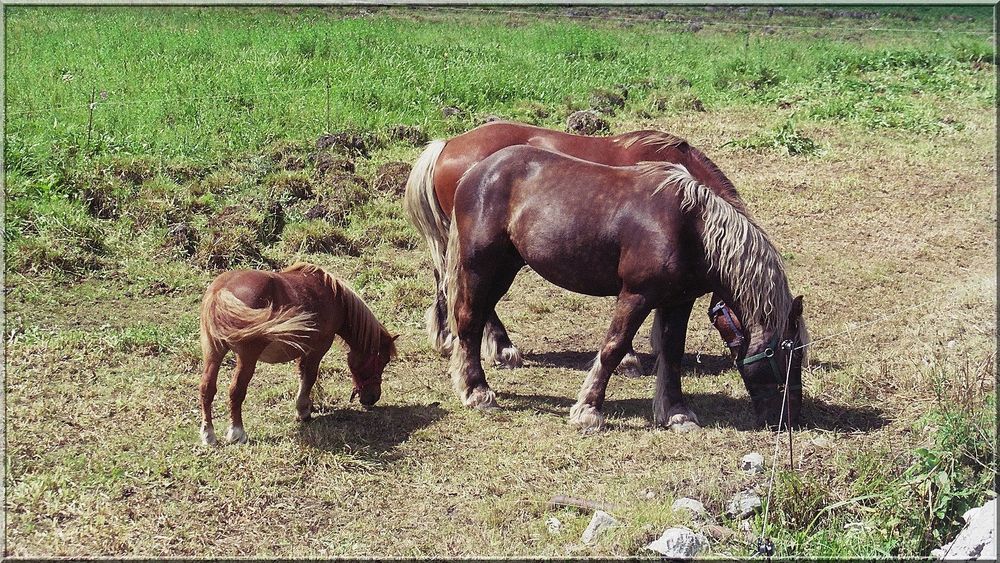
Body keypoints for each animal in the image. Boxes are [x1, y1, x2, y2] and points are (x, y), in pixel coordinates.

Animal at [197, 262, 396, 448]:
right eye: (382, 360)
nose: (373, 398)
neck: (335, 297)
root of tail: (219, 290)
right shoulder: (318, 348)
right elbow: (310, 377)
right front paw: (303, 412)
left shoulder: (303, 350)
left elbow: (302, 375)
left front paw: (305, 406)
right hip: (246, 358)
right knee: (236, 390)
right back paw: (237, 432)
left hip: (213, 352)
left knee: (207, 388)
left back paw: (208, 435)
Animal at [450, 145, 808, 432]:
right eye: (788, 351)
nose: (791, 419)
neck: (691, 228)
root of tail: (475, 172)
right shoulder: (637, 295)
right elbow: (614, 346)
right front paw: (589, 410)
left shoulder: (678, 302)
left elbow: (672, 353)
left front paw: (677, 413)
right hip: (481, 267)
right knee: (468, 319)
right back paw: (477, 391)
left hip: (505, 269)